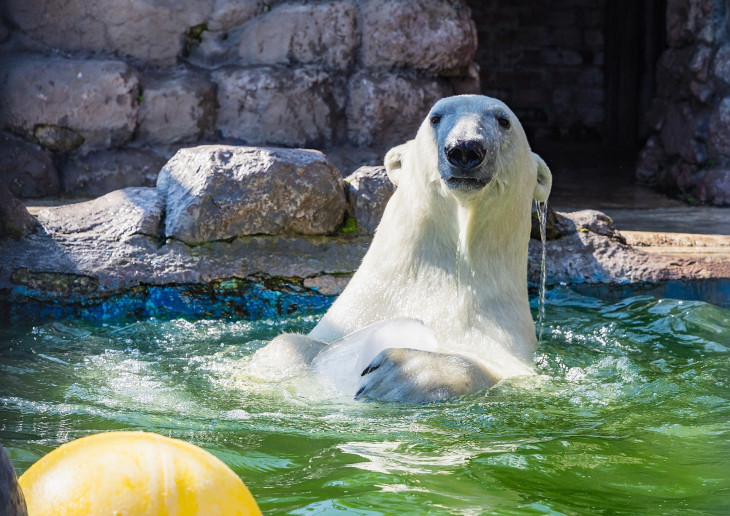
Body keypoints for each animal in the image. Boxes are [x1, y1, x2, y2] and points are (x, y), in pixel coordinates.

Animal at [252, 95, 552, 404]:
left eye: (503, 121)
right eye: (435, 117)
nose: (465, 149)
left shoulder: (504, 342)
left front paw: (401, 372)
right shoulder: (356, 311)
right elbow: (288, 345)